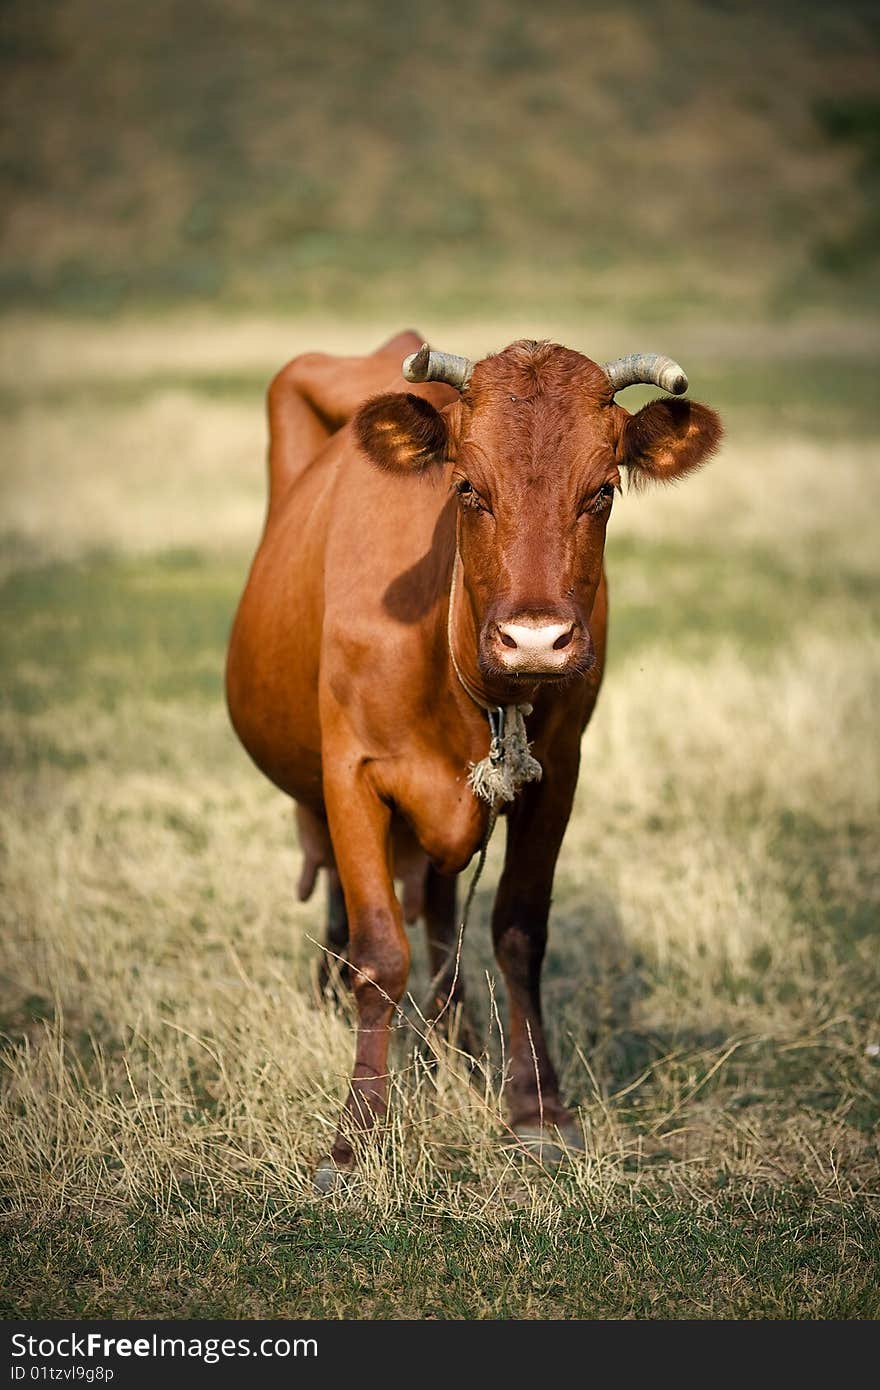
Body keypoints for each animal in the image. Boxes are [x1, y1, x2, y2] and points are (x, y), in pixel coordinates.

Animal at [226, 330, 722, 1189]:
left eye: (603, 491)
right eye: (466, 487)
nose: (535, 640)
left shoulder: (558, 776)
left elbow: (518, 933)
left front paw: (536, 1109)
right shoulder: (351, 774)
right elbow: (379, 954)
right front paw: (355, 1138)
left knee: (441, 911)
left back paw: (455, 1043)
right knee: (348, 892)